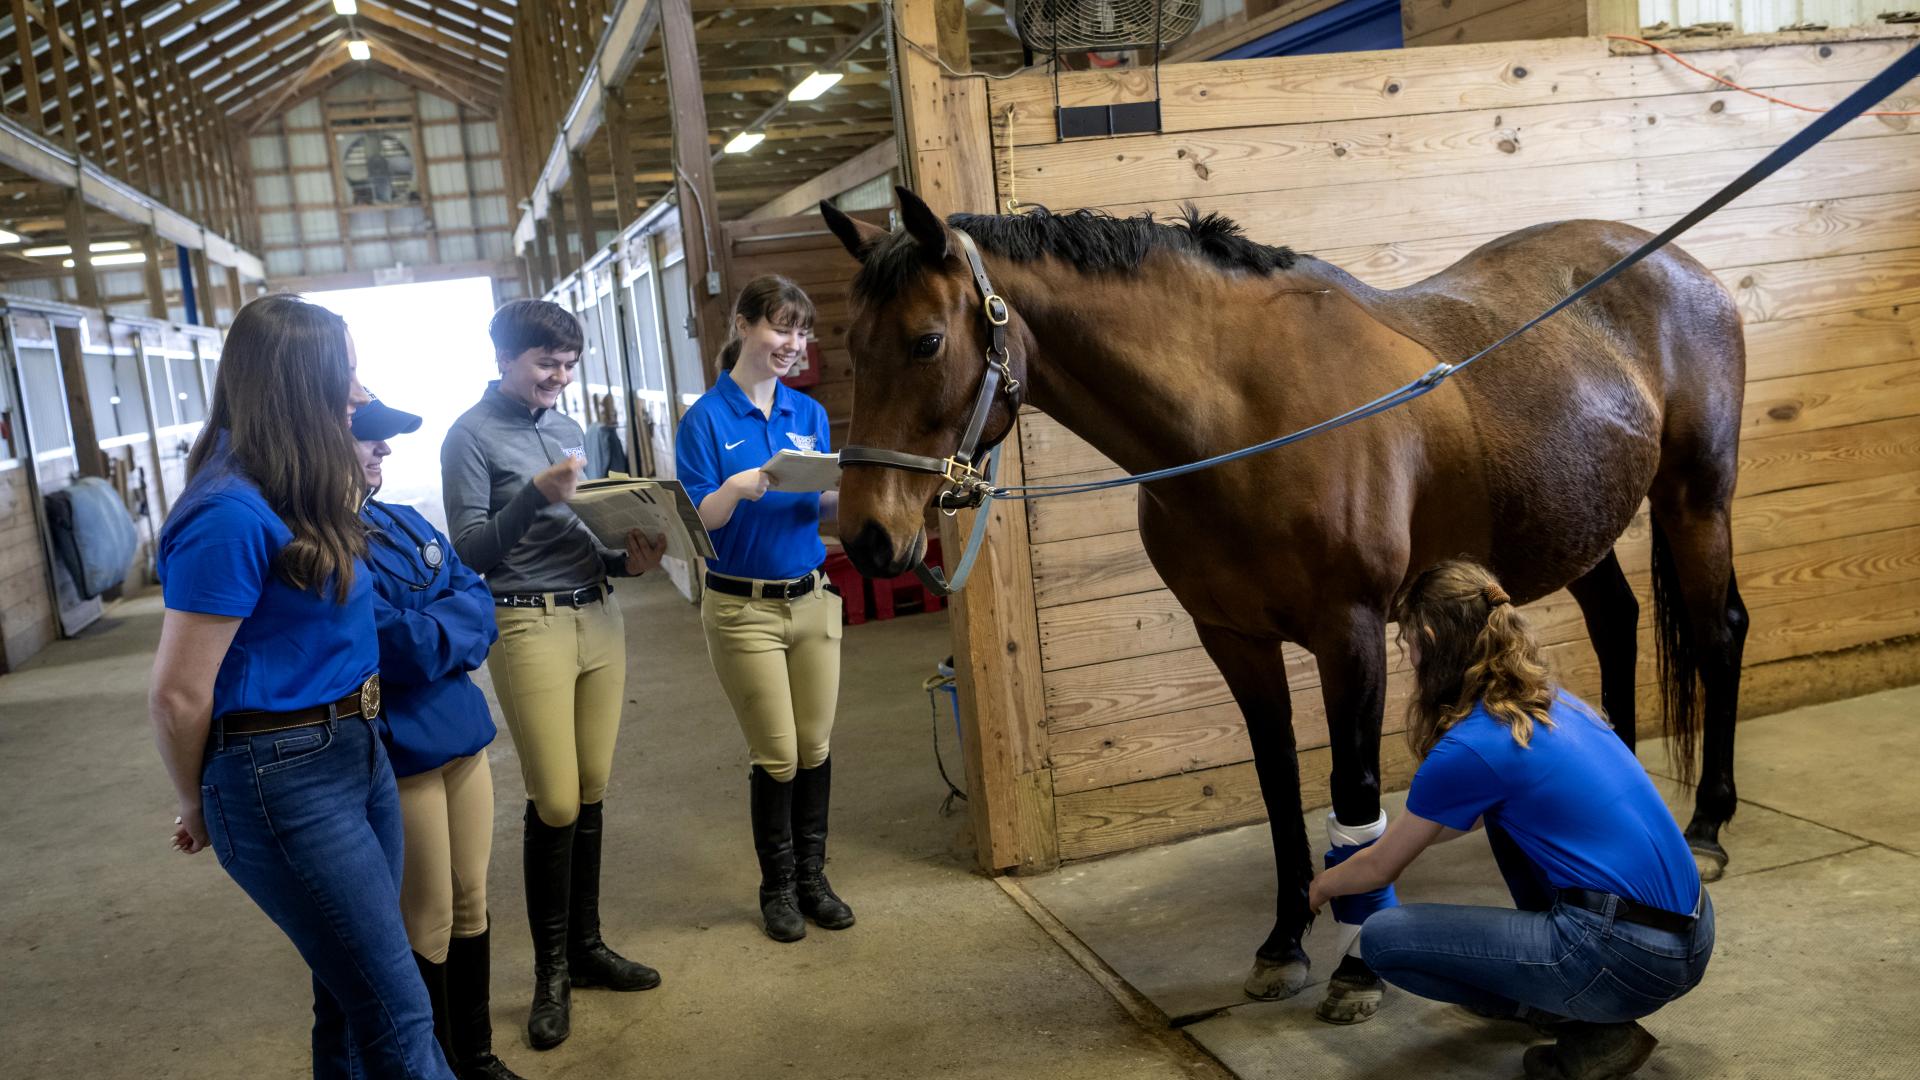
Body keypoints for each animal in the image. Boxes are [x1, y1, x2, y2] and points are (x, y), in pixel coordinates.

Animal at [820, 188, 1747, 1021]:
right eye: (852, 345)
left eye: (926, 341)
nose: (866, 536)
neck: (1244, 414)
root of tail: (1684, 267)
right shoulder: (1233, 638)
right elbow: (1276, 784)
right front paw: (1282, 944)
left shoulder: (1352, 633)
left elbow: (1353, 789)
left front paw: (1357, 969)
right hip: (1576, 529)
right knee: (1618, 623)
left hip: (1694, 501)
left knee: (1717, 634)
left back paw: (1707, 825)